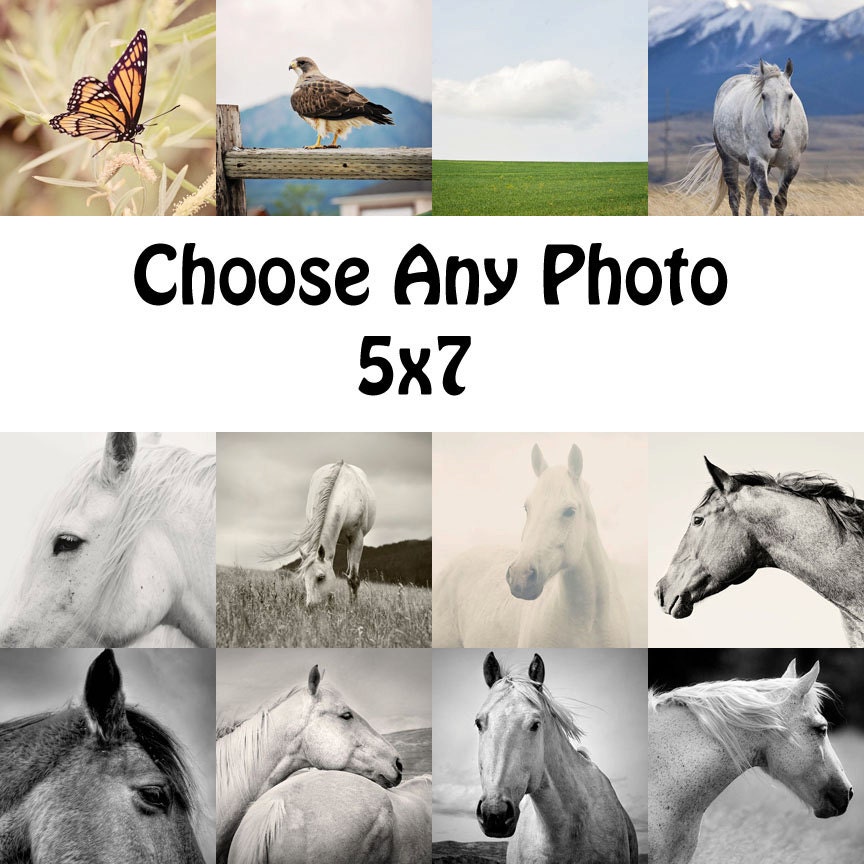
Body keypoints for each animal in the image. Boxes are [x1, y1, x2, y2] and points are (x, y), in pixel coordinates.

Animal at [270, 461, 376, 607]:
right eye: (304, 579)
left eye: (321, 577)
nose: (311, 607)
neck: (345, 493)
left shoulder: (357, 538)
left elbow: (353, 578)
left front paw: (353, 607)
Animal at [674, 59, 807, 215]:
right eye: (763, 95)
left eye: (790, 95)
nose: (776, 135)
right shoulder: (758, 159)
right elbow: (765, 198)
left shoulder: (792, 164)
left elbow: (780, 200)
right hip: (728, 159)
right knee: (734, 196)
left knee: (749, 188)